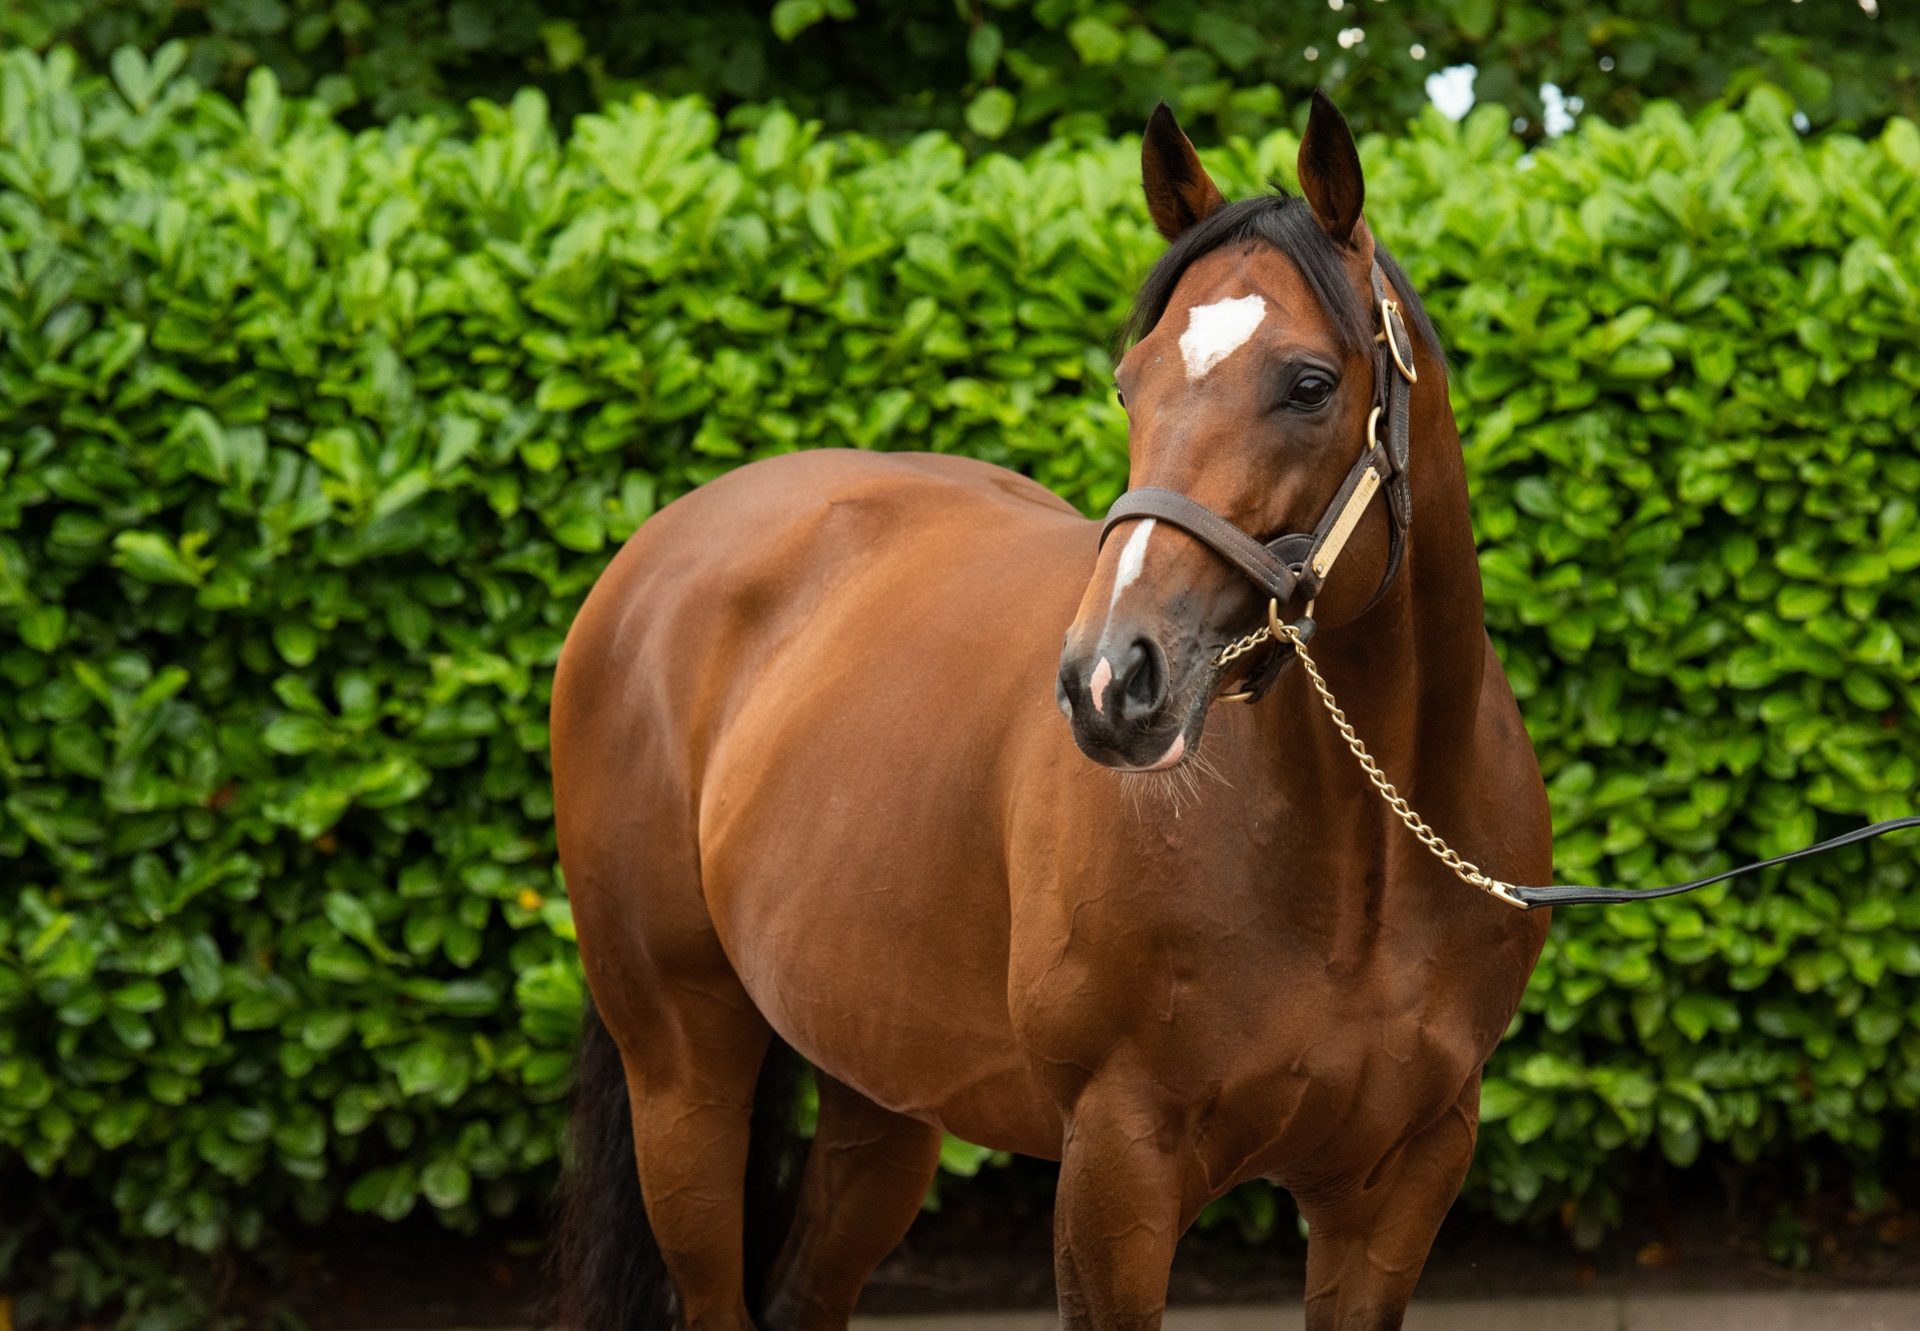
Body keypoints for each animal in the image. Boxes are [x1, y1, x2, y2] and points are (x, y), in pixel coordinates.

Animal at [549, 93, 1551, 1329]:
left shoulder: (1403, 1181)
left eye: (1312, 382)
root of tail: (656, 552)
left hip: (883, 1095)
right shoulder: (1118, 1164)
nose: (1110, 681)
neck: (1362, 862)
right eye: (1132, 381)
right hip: (683, 1076)